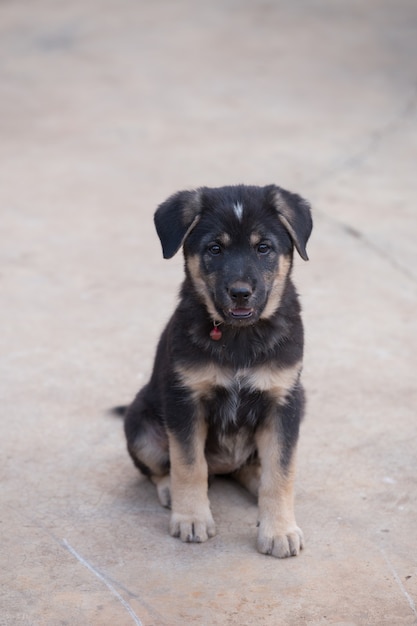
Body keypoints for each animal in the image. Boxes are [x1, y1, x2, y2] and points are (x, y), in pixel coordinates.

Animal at [123, 184, 312, 556]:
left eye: (263, 247)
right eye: (215, 248)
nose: (240, 293)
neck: (239, 336)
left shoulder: (284, 400)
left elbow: (281, 471)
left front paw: (279, 530)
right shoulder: (185, 399)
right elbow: (189, 464)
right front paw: (192, 519)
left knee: (253, 467)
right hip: (139, 423)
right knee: (162, 468)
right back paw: (170, 491)